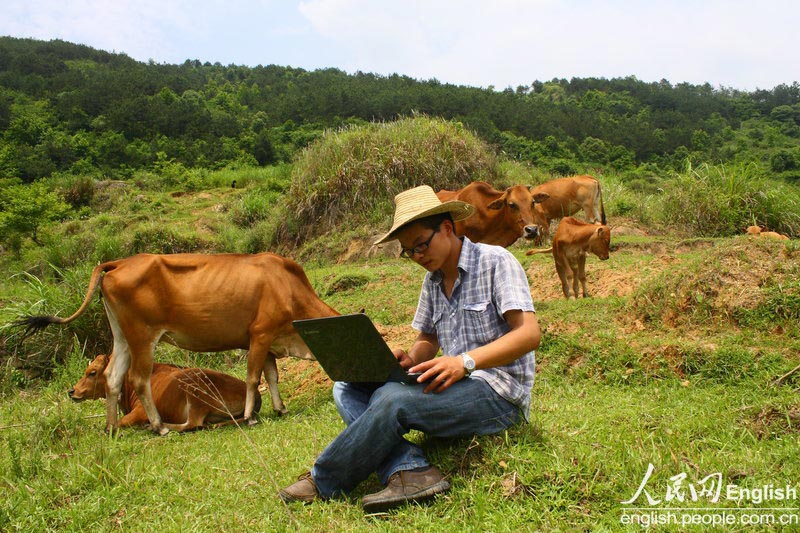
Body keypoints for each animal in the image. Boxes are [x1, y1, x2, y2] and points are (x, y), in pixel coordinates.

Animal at [69, 354, 260, 432]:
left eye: (92, 372)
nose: (72, 391)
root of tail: (256, 396)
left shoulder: (140, 411)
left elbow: (119, 423)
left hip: (194, 393)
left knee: (193, 424)